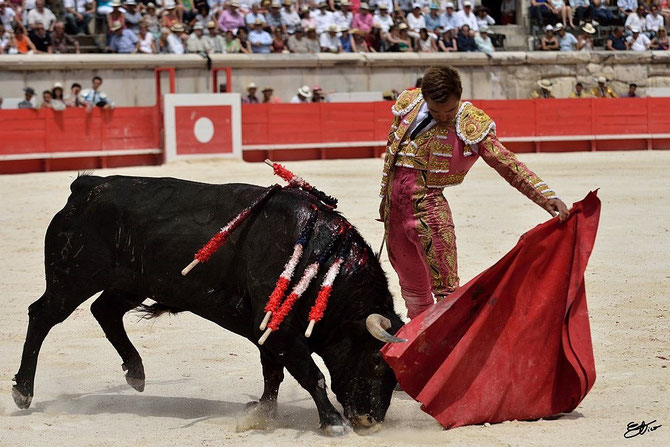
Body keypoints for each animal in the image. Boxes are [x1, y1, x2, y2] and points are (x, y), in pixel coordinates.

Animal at [13, 176, 406, 438]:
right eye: (376, 359)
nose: (371, 422)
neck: (322, 260)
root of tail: (87, 186)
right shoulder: (279, 330)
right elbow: (311, 374)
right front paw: (332, 422)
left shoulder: (266, 331)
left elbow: (273, 373)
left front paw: (264, 413)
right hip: (72, 279)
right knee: (42, 315)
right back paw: (23, 391)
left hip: (131, 284)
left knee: (104, 312)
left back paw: (136, 373)